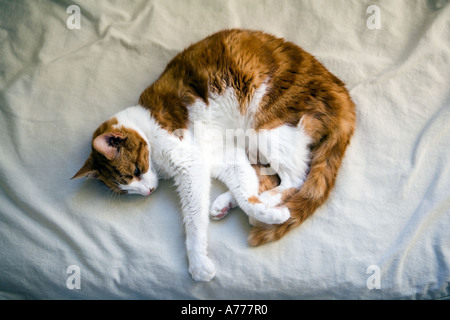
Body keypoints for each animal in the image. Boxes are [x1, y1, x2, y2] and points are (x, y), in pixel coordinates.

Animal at [73, 28, 356, 282]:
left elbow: (194, 220)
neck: (146, 123)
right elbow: (245, 188)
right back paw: (231, 203)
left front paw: (198, 263)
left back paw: (265, 205)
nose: (148, 192)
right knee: (267, 178)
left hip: (265, 128)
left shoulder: (190, 165)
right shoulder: (222, 154)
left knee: (296, 178)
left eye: (135, 171)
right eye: (125, 190)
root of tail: (342, 92)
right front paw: (254, 206)